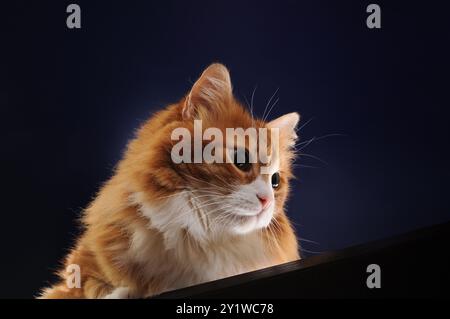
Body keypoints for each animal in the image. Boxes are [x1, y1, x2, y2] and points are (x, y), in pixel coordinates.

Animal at [40, 63, 300, 300]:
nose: (267, 200)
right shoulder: (76, 273)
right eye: (241, 161)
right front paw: (123, 292)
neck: (198, 242)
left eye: (275, 181)